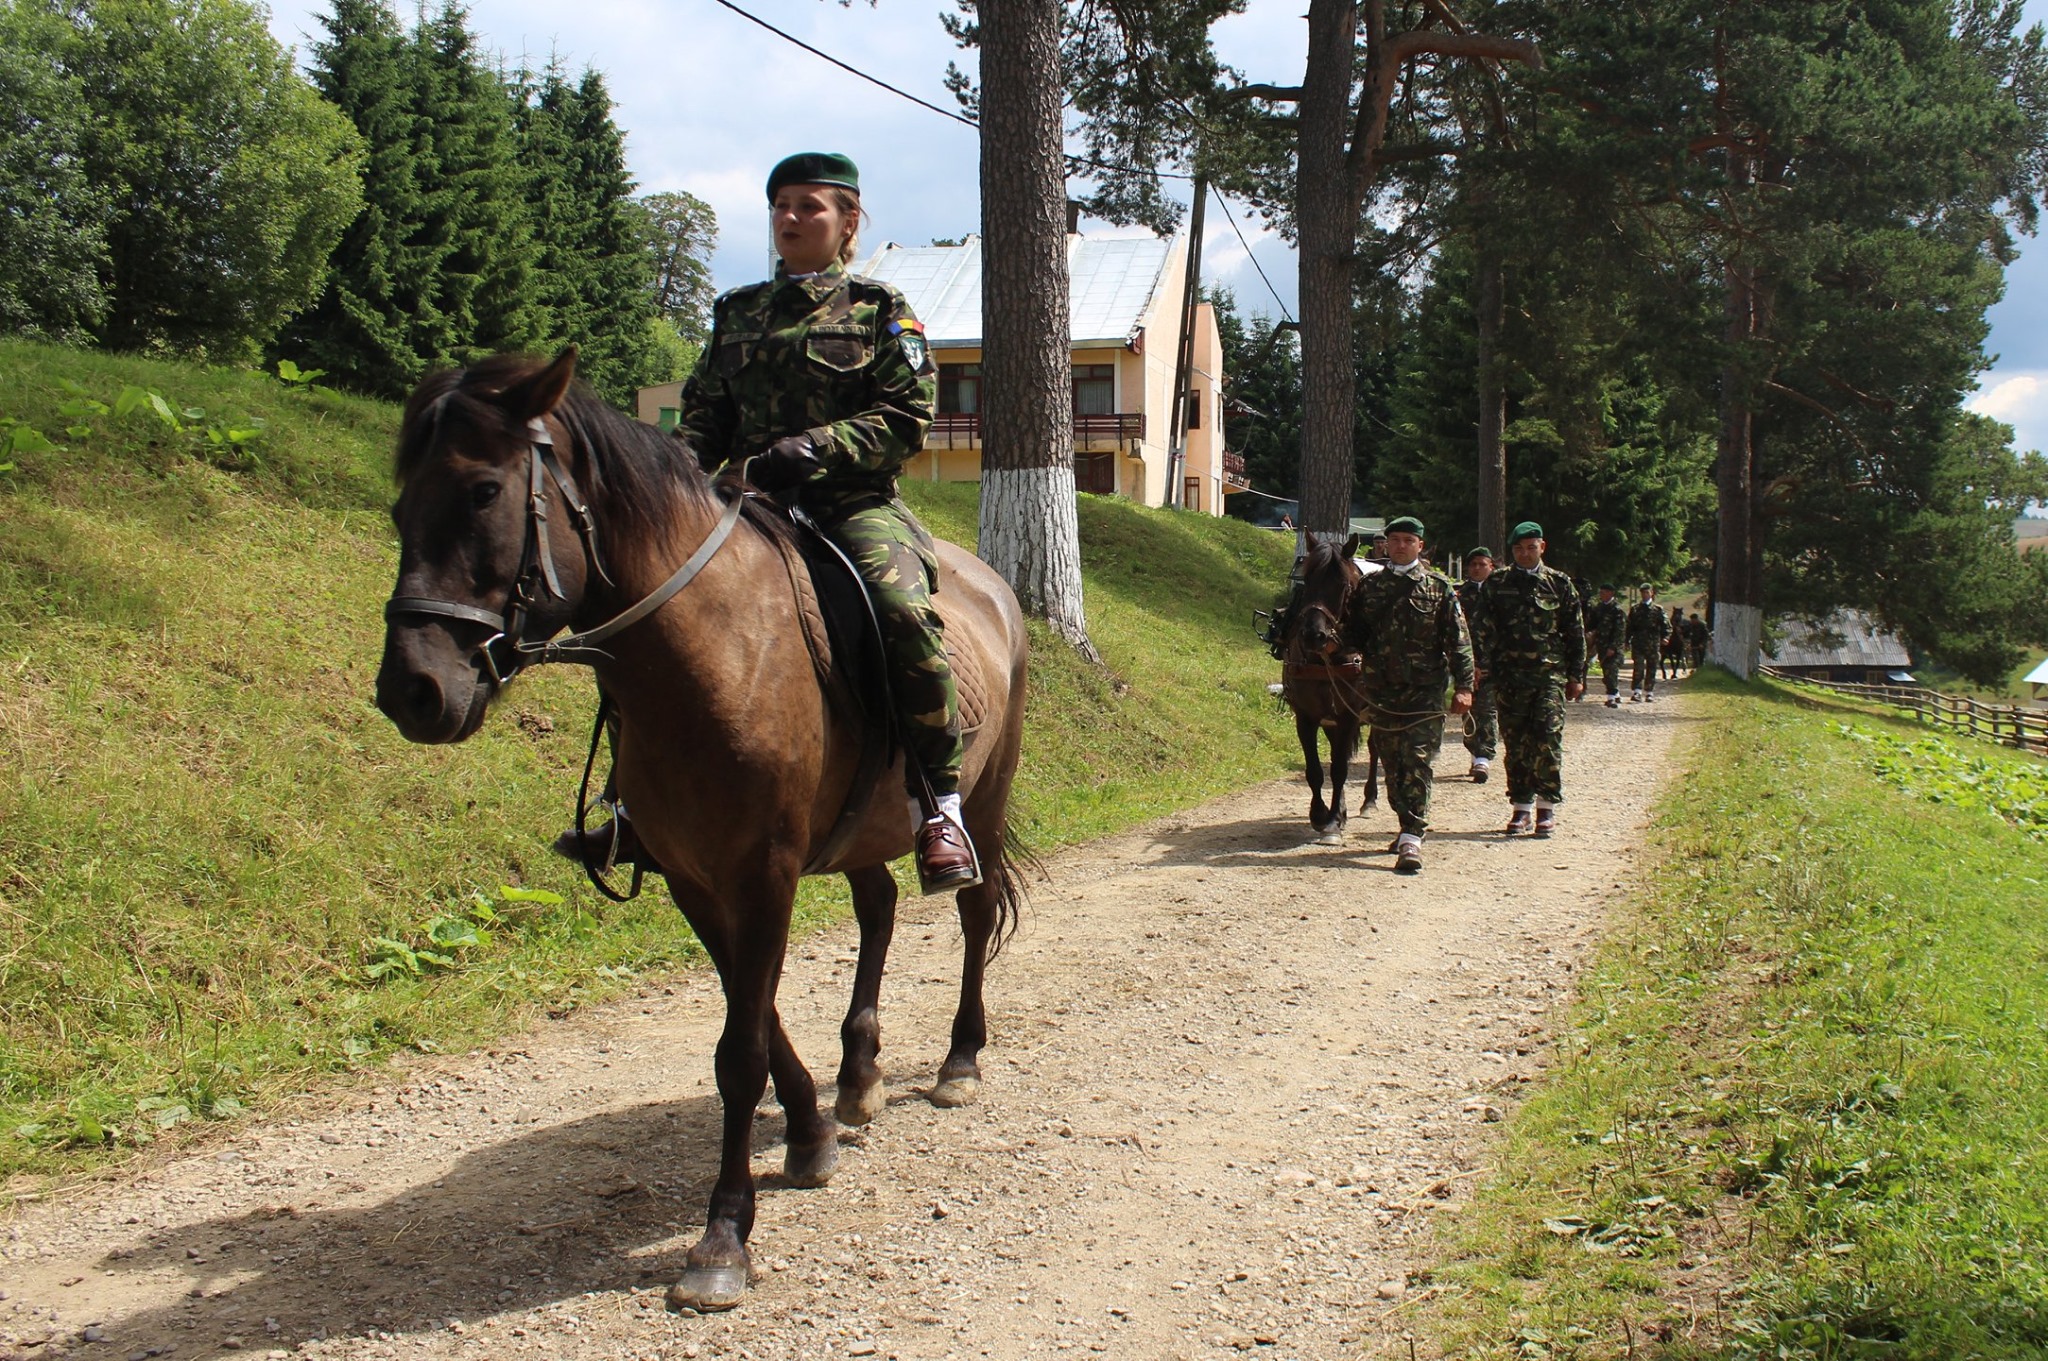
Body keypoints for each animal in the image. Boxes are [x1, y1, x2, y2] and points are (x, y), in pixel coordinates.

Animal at [372, 347, 1024, 1309]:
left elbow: (739, 1049)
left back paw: (959, 1060)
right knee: (876, 908)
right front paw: (808, 1132)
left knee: (973, 914)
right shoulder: (695, 876)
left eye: (485, 490)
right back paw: (859, 1076)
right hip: (860, 828)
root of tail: (997, 589)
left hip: (981, 797)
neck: (711, 650)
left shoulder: (763, 871)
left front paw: (723, 1237)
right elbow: (758, 1018)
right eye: (400, 505)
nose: (412, 690)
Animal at [1277, 540, 1376, 839]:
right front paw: (1321, 813)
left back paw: (1370, 800)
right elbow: (1315, 770)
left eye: (1343, 585)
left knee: (1375, 748)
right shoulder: (1306, 717)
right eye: (1307, 580)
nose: (1313, 635)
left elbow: (1340, 769)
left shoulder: (1348, 716)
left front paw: (1332, 820)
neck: (1325, 660)